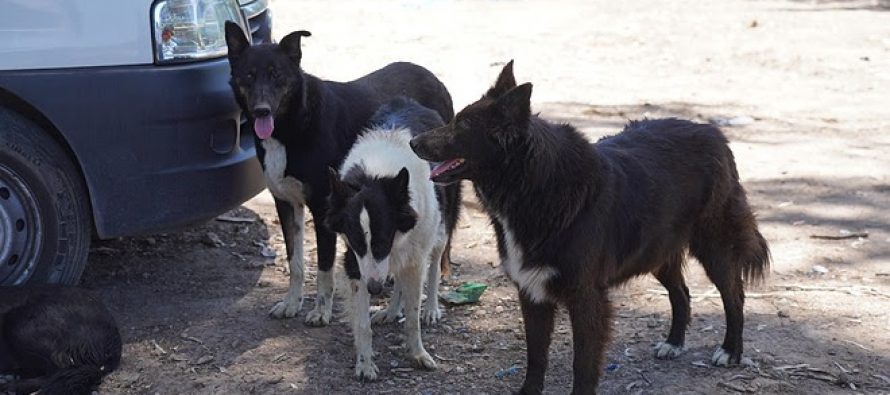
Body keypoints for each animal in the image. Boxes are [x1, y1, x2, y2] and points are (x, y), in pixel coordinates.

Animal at [222, 21, 458, 326]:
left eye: (277, 75)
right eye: (249, 75)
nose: (261, 110)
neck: (293, 125)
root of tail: (433, 78)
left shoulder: (324, 207)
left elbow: (324, 267)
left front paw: (321, 310)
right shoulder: (286, 202)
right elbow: (295, 262)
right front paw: (292, 302)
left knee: (436, 251)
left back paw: (430, 307)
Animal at [322, 96, 454, 380]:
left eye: (382, 241)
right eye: (358, 243)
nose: (374, 289)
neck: (376, 174)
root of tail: (408, 100)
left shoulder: (413, 256)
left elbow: (413, 315)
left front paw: (418, 353)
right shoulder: (355, 262)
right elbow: (362, 323)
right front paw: (364, 364)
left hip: (440, 229)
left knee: (435, 265)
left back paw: (432, 308)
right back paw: (392, 311)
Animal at [406, 60, 768, 394]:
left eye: (464, 125)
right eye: (456, 118)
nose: (413, 142)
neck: (534, 188)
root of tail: (713, 133)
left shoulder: (586, 298)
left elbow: (583, 363)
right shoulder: (532, 292)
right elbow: (536, 356)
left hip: (714, 249)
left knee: (734, 296)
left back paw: (730, 350)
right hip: (656, 252)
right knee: (682, 293)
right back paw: (674, 343)